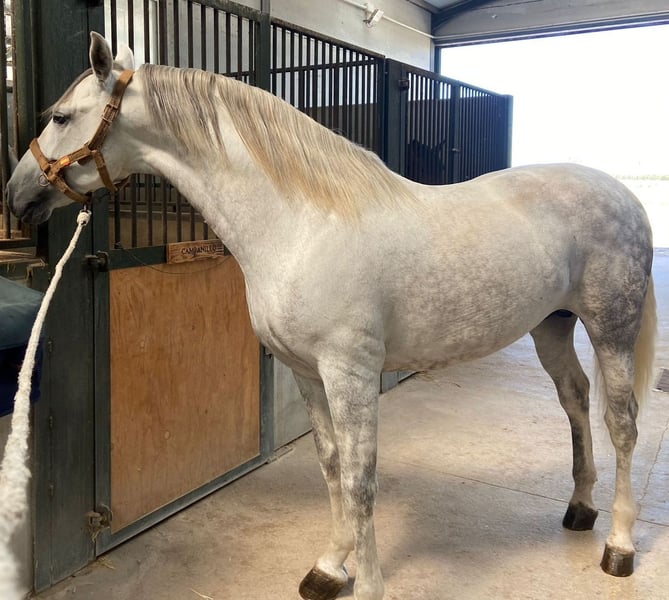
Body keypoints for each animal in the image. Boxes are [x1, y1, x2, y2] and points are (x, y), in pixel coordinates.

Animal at [7, 32, 656, 600]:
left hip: (611, 329)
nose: (16, 197)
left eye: (61, 116)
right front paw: (328, 567)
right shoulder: (304, 371)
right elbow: (331, 466)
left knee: (622, 422)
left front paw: (366, 585)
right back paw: (580, 509)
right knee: (574, 399)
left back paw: (619, 547)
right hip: (553, 325)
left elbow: (361, 480)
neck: (301, 225)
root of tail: (623, 194)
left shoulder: (351, 374)